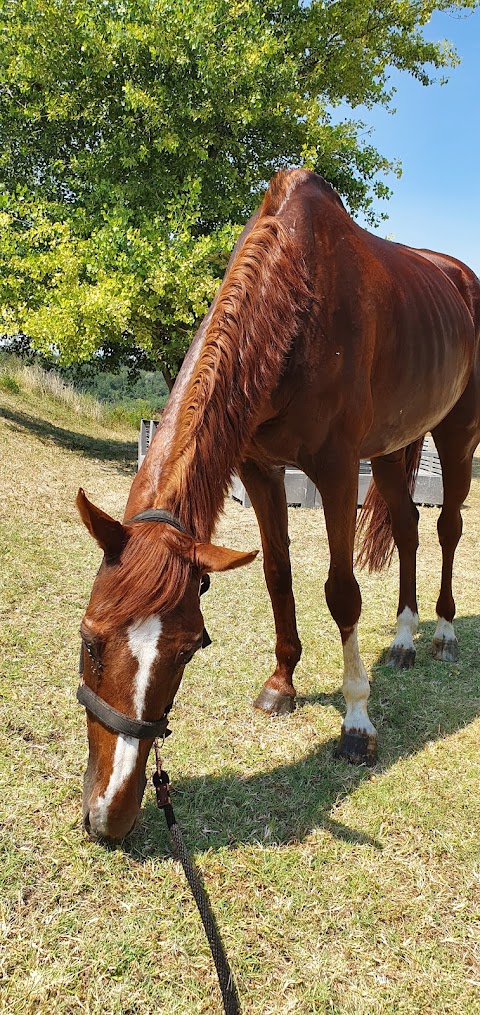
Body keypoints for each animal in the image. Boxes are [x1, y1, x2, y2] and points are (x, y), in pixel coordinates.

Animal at [76, 172, 476, 840]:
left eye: (188, 648)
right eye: (90, 640)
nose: (110, 814)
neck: (294, 305)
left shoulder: (337, 470)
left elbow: (341, 593)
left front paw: (357, 723)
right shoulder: (258, 468)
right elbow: (276, 572)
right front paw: (282, 683)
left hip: (454, 433)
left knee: (447, 527)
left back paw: (442, 633)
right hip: (394, 446)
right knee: (409, 527)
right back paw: (403, 640)